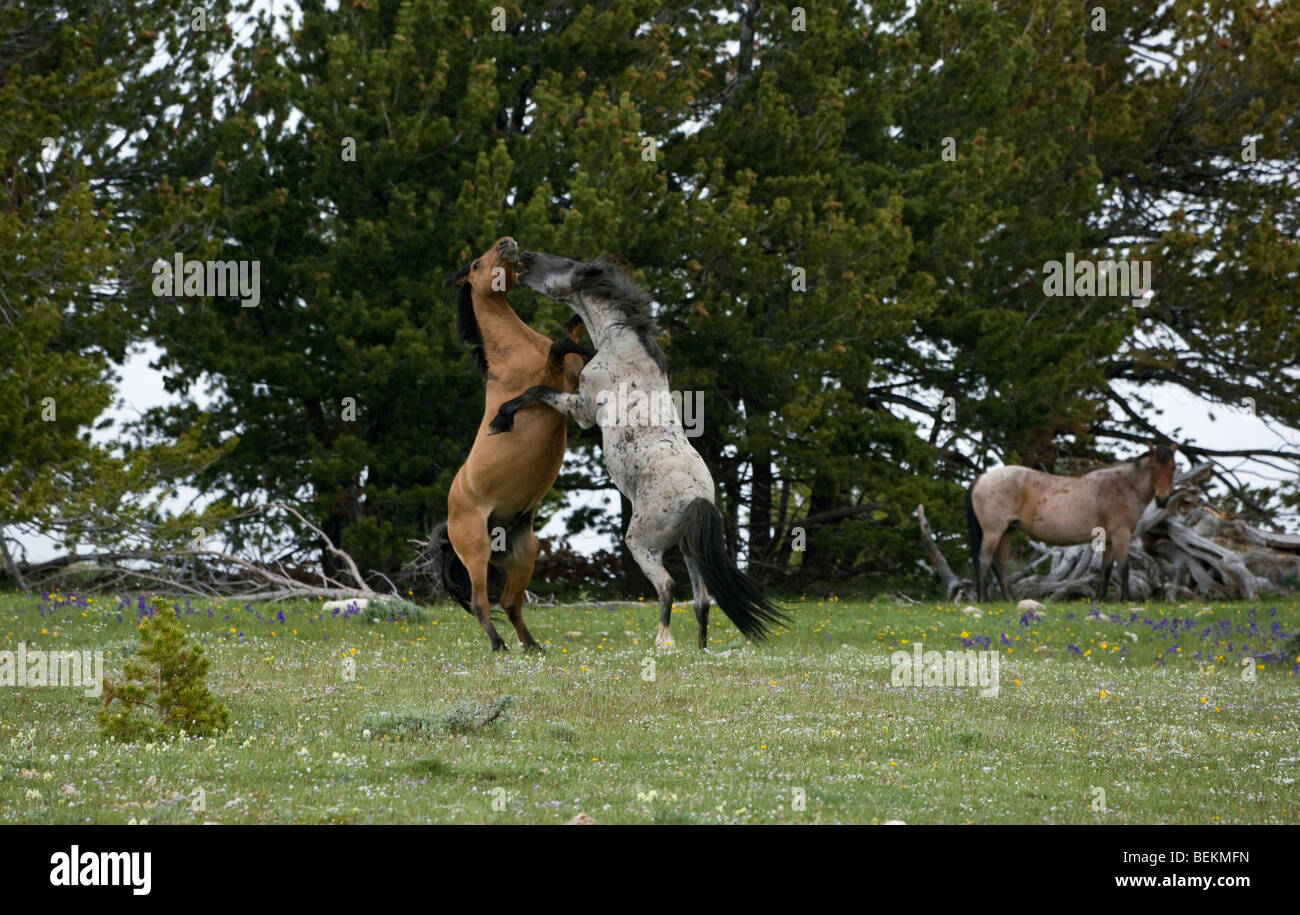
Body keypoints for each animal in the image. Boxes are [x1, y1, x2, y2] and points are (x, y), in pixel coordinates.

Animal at [431, 236, 595, 649]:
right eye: (476, 264)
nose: (507, 242)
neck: (515, 350)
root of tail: (449, 522)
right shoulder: (549, 385)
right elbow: (558, 346)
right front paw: (500, 420)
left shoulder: (569, 380)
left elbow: (568, 336)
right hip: (476, 552)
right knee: (480, 602)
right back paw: (499, 645)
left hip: (524, 554)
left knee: (509, 602)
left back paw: (534, 647)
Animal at [488, 249, 790, 649]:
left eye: (566, 264)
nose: (526, 256)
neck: (622, 347)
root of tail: (697, 499)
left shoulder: (583, 410)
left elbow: (536, 391)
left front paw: (501, 418)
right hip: (691, 551)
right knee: (702, 600)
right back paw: (699, 650)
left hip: (642, 544)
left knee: (667, 586)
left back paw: (662, 642)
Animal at [967, 444, 1180, 603]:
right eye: (1153, 468)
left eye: (1173, 467)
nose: (1163, 500)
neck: (1121, 486)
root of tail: (982, 477)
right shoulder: (1122, 534)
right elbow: (1124, 567)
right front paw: (1127, 600)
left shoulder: (1110, 538)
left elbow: (1106, 569)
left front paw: (1099, 600)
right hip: (994, 531)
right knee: (984, 559)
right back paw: (983, 600)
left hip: (1007, 531)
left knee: (999, 564)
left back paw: (1008, 599)